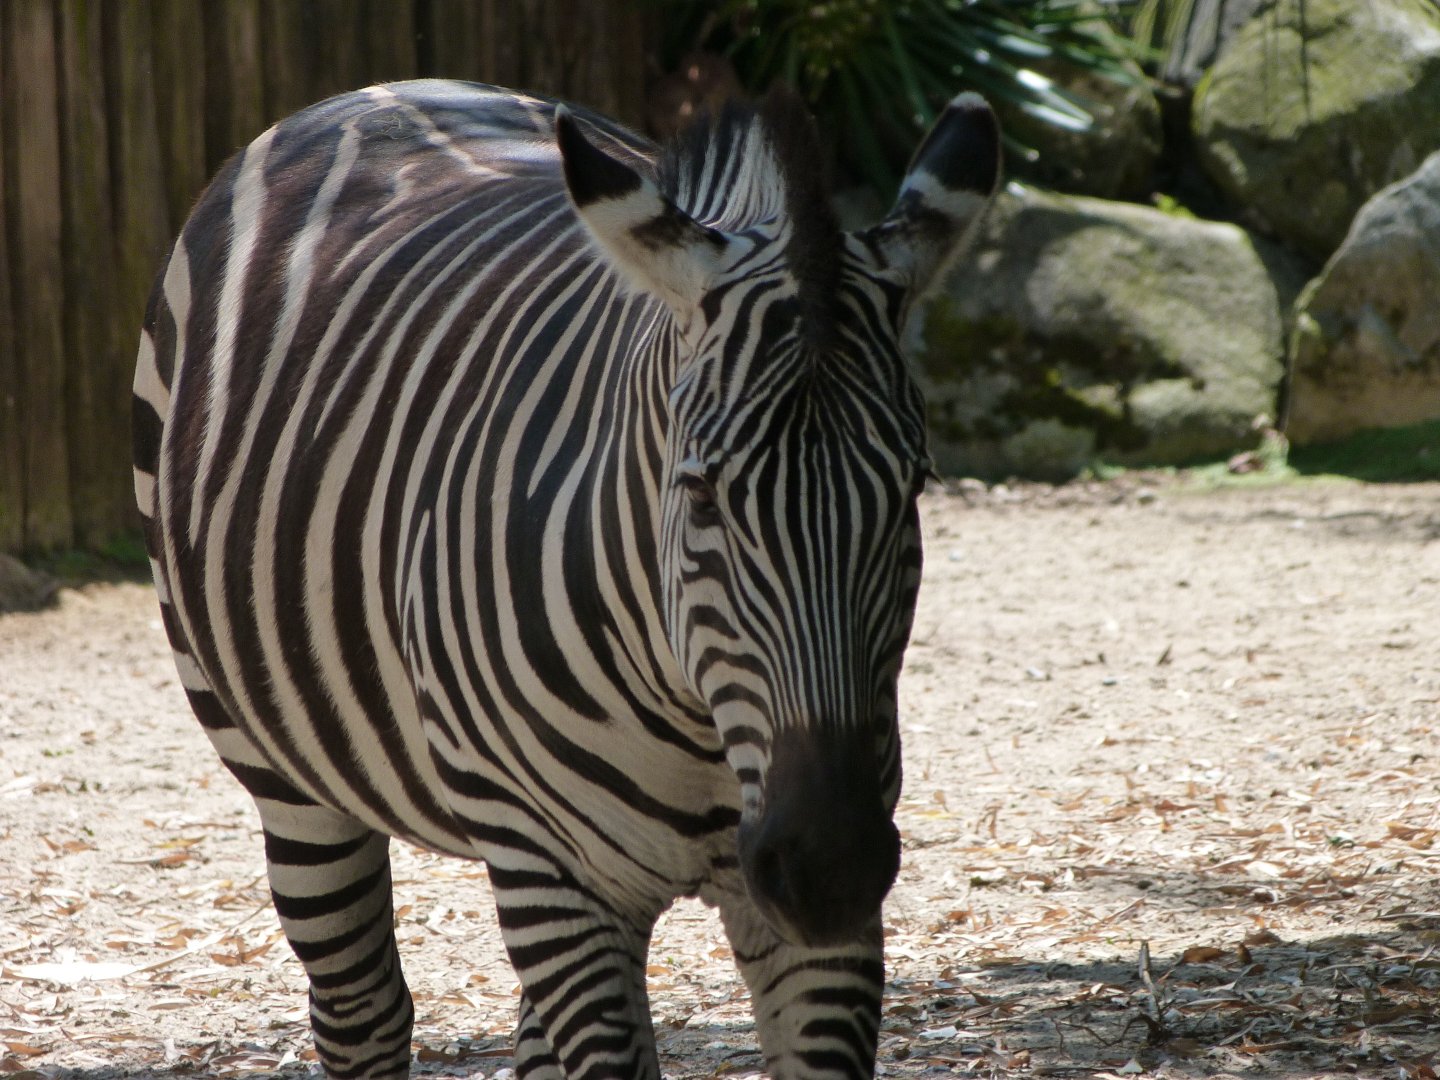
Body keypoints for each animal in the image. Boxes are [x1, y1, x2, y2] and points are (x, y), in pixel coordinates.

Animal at [132, 79, 999, 1079]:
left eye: (913, 488)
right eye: (701, 493)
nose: (831, 869)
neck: (698, 717)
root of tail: (378, 94)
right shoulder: (555, 872)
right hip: (283, 768)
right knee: (361, 1008)